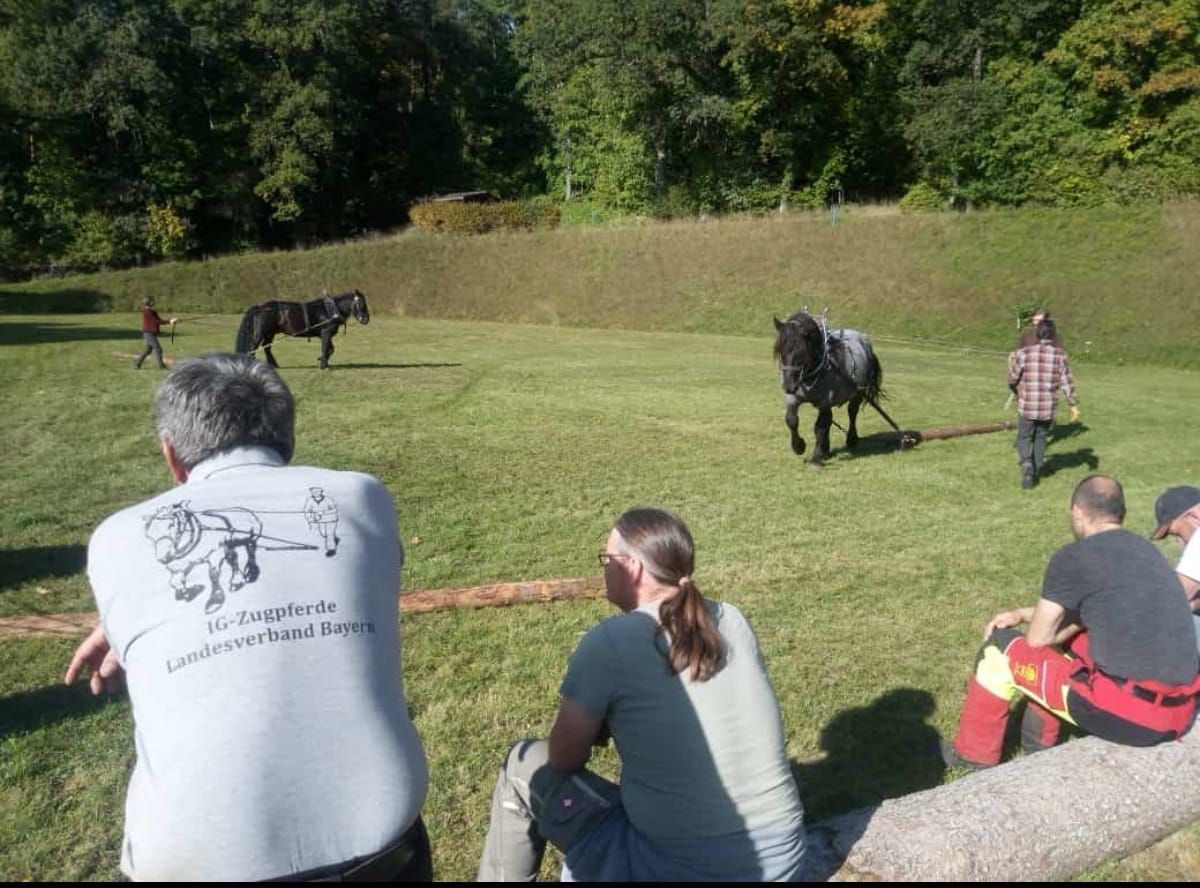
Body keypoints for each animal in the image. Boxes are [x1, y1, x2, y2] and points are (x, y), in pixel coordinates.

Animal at [235, 289, 370, 370]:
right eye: (361, 303)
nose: (365, 319)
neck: (330, 310)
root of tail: (260, 307)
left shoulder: (326, 334)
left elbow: (330, 349)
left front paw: (320, 360)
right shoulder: (325, 333)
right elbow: (326, 348)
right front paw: (323, 365)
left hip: (270, 333)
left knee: (267, 347)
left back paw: (274, 365)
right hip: (260, 333)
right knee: (253, 348)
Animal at [772, 310, 903, 465]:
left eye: (801, 352)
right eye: (780, 350)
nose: (788, 385)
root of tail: (864, 340)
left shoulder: (825, 400)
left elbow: (820, 427)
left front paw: (817, 456)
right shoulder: (794, 397)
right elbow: (791, 420)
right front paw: (799, 446)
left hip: (857, 393)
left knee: (852, 413)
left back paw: (851, 438)